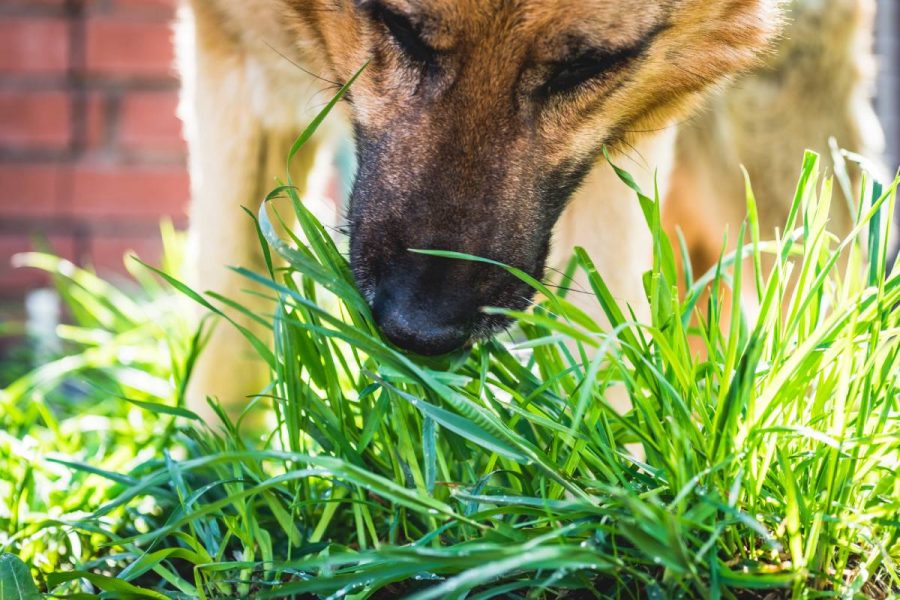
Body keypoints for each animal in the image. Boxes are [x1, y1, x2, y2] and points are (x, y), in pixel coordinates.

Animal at [174, 0, 880, 422]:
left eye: (585, 66)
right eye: (399, 26)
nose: (418, 331)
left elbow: (601, 333)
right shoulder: (235, 57)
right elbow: (231, 329)